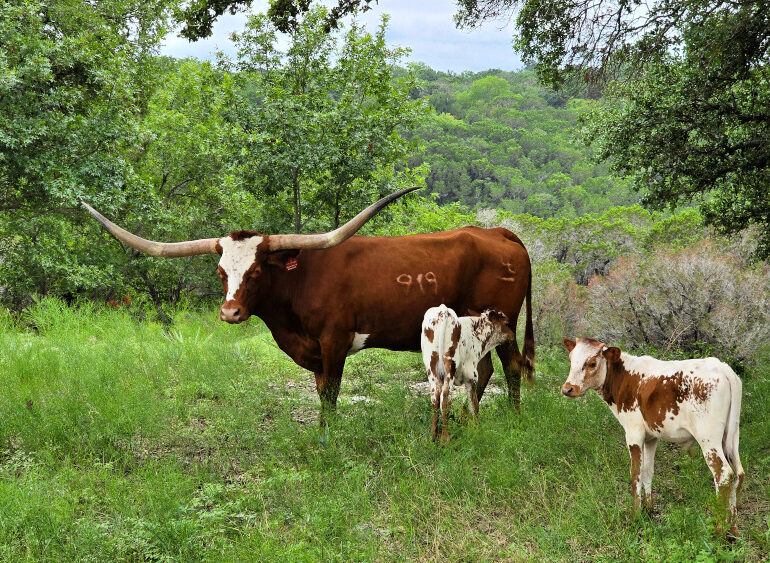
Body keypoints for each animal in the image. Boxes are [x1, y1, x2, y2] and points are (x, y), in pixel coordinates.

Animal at [82, 187, 528, 426]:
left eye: (257, 271)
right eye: (221, 271)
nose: (230, 313)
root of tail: (499, 233)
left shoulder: (334, 342)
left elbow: (330, 394)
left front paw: (326, 438)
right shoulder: (313, 350)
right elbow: (319, 392)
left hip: (503, 323)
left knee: (512, 367)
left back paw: (509, 419)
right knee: (489, 370)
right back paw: (471, 418)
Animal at [416, 306, 512, 442]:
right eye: (507, 323)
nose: (512, 336)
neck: (476, 334)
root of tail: (443, 310)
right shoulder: (471, 377)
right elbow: (474, 406)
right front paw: (478, 432)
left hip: (431, 366)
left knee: (435, 399)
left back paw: (432, 437)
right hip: (450, 365)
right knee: (445, 398)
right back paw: (444, 438)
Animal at [560, 338, 740, 536]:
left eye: (592, 363)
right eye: (570, 359)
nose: (567, 389)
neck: (625, 377)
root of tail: (722, 367)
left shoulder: (633, 432)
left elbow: (635, 473)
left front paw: (635, 516)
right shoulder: (651, 437)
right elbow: (647, 471)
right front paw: (648, 509)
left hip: (708, 438)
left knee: (723, 475)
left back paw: (719, 530)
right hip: (731, 435)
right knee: (738, 473)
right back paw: (733, 530)